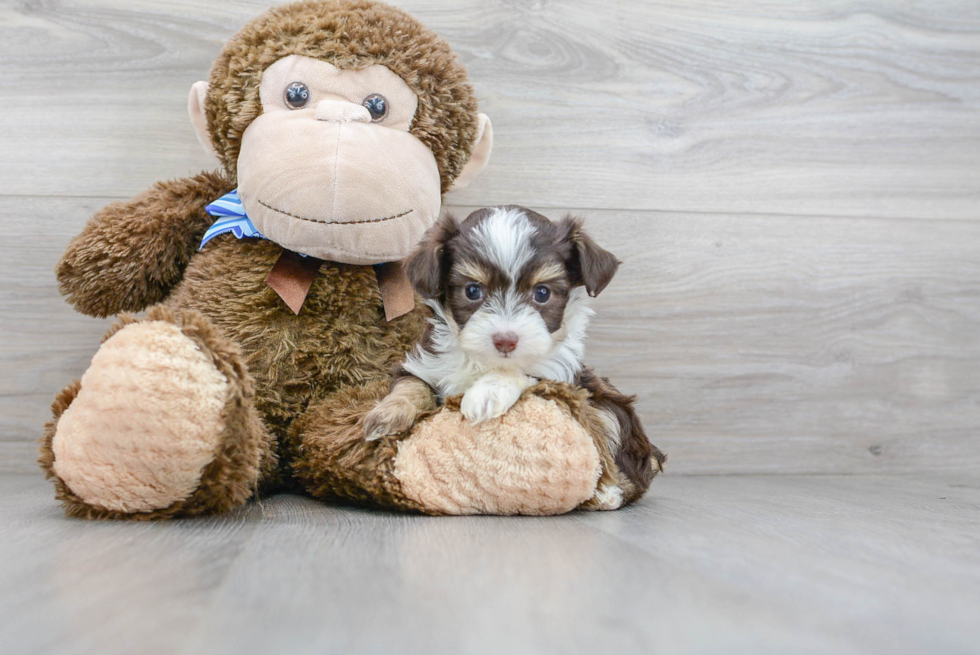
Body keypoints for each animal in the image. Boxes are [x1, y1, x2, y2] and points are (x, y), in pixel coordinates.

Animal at [362, 208, 668, 510]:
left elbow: (526, 372)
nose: (505, 340)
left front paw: (486, 393)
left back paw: (607, 494)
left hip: (611, 408)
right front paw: (386, 416)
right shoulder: (424, 363)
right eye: (472, 290)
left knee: (627, 467)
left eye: (542, 293)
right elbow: (411, 386)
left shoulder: (560, 374)